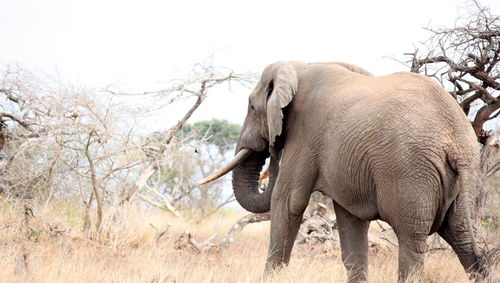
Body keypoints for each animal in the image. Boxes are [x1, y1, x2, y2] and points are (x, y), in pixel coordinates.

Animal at [199, 61, 488, 282]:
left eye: (251, 107)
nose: (271, 147)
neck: (298, 67)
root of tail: (456, 137)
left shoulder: (305, 134)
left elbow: (288, 201)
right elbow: (350, 220)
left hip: (411, 170)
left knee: (411, 238)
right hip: (460, 179)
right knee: (462, 236)